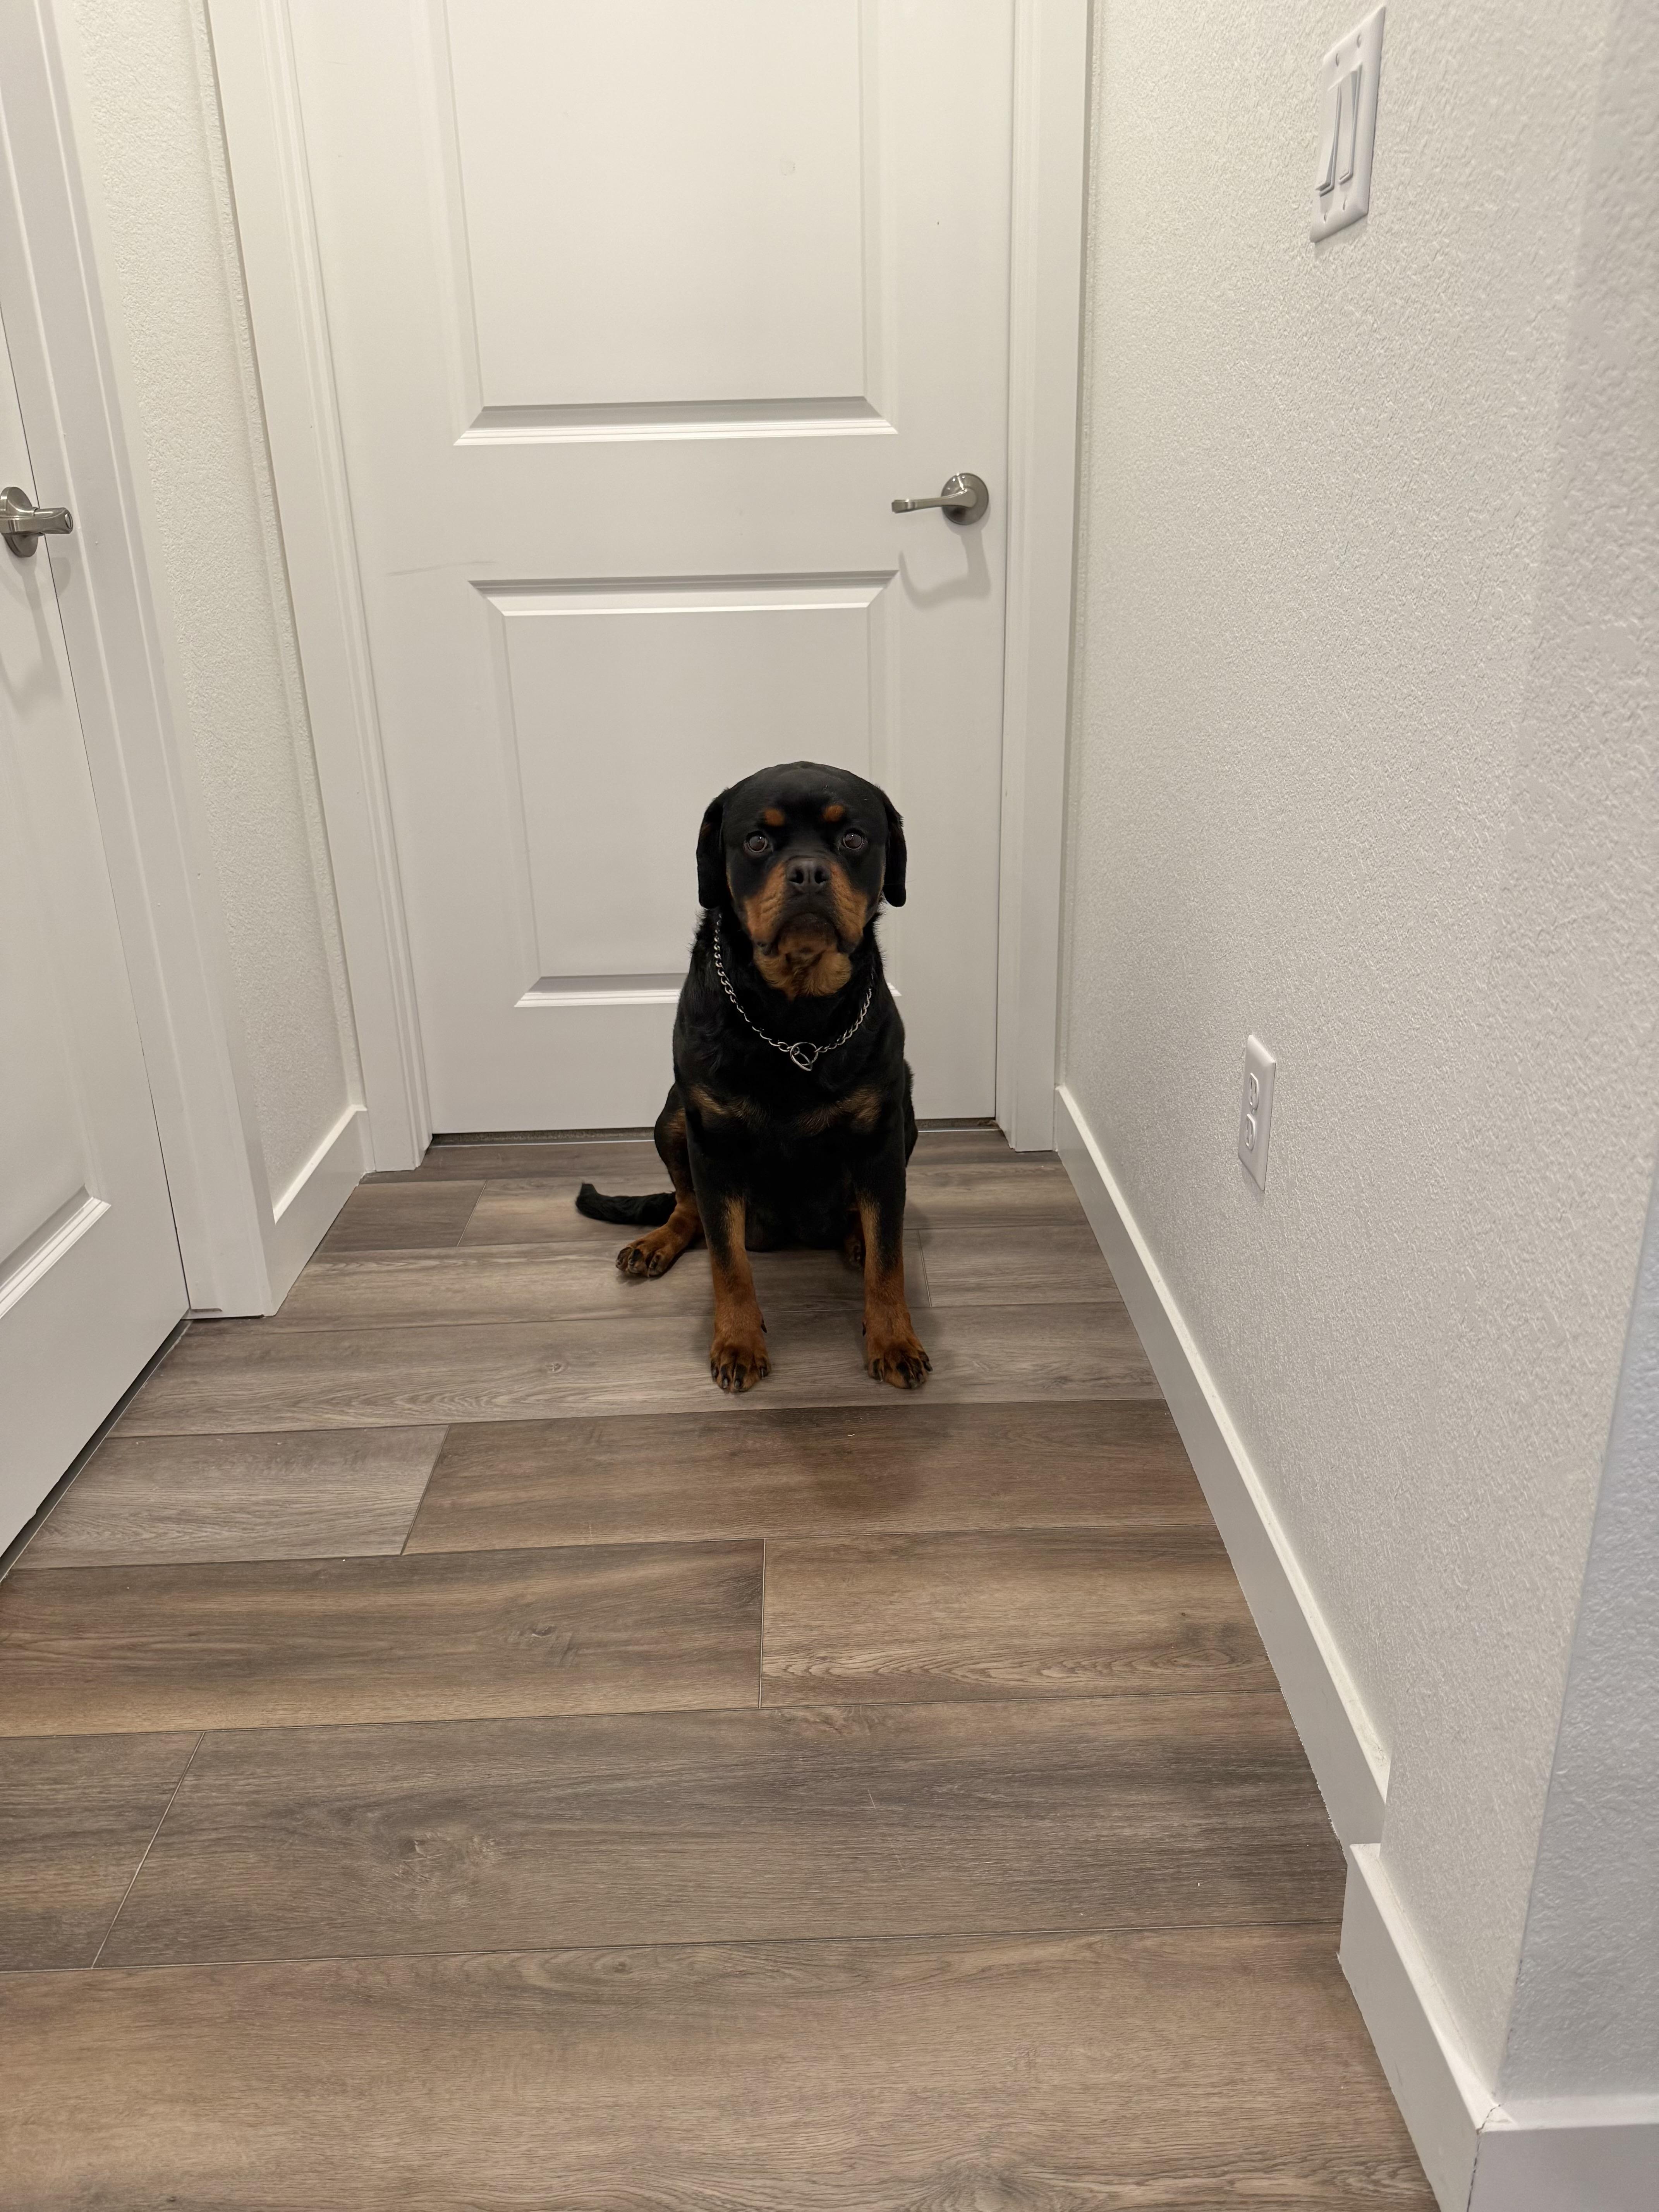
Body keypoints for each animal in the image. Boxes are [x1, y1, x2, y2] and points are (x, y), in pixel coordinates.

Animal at [576, 761, 930, 1395]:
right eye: (758, 842)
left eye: (854, 839)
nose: (809, 873)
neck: (796, 1016)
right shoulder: (714, 1141)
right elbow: (727, 1263)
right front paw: (738, 1343)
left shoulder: (882, 1134)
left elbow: (890, 1258)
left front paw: (894, 1339)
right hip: (673, 1117)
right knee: (687, 1207)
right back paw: (656, 1242)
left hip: (908, 1113)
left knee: (862, 1218)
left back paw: (855, 1237)